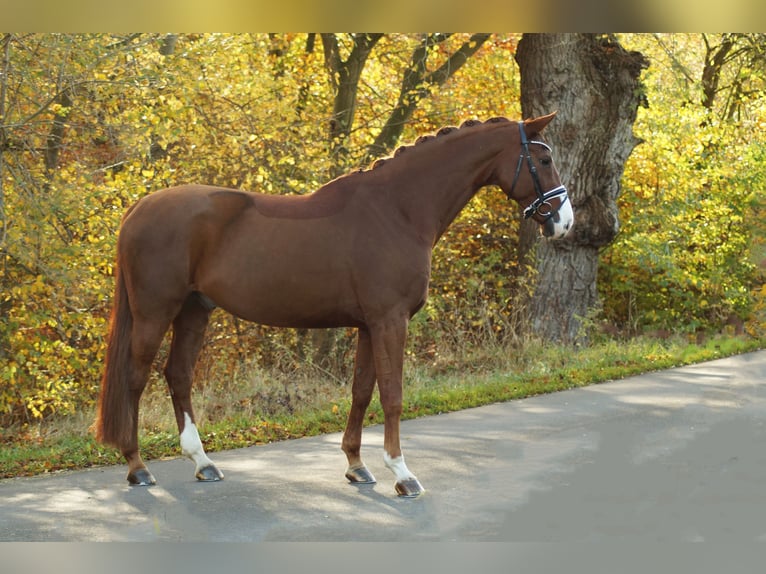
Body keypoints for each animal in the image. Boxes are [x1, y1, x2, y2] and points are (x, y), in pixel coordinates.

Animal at [96, 112, 572, 500]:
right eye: (543, 160)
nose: (564, 222)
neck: (397, 210)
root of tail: (139, 207)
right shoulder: (390, 321)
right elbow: (393, 395)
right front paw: (403, 474)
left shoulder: (368, 325)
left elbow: (362, 391)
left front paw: (357, 466)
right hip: (155, 312)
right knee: (135, 378)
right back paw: (137, 468)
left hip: (195, 310)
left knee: (178, 375)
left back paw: (203, 463)